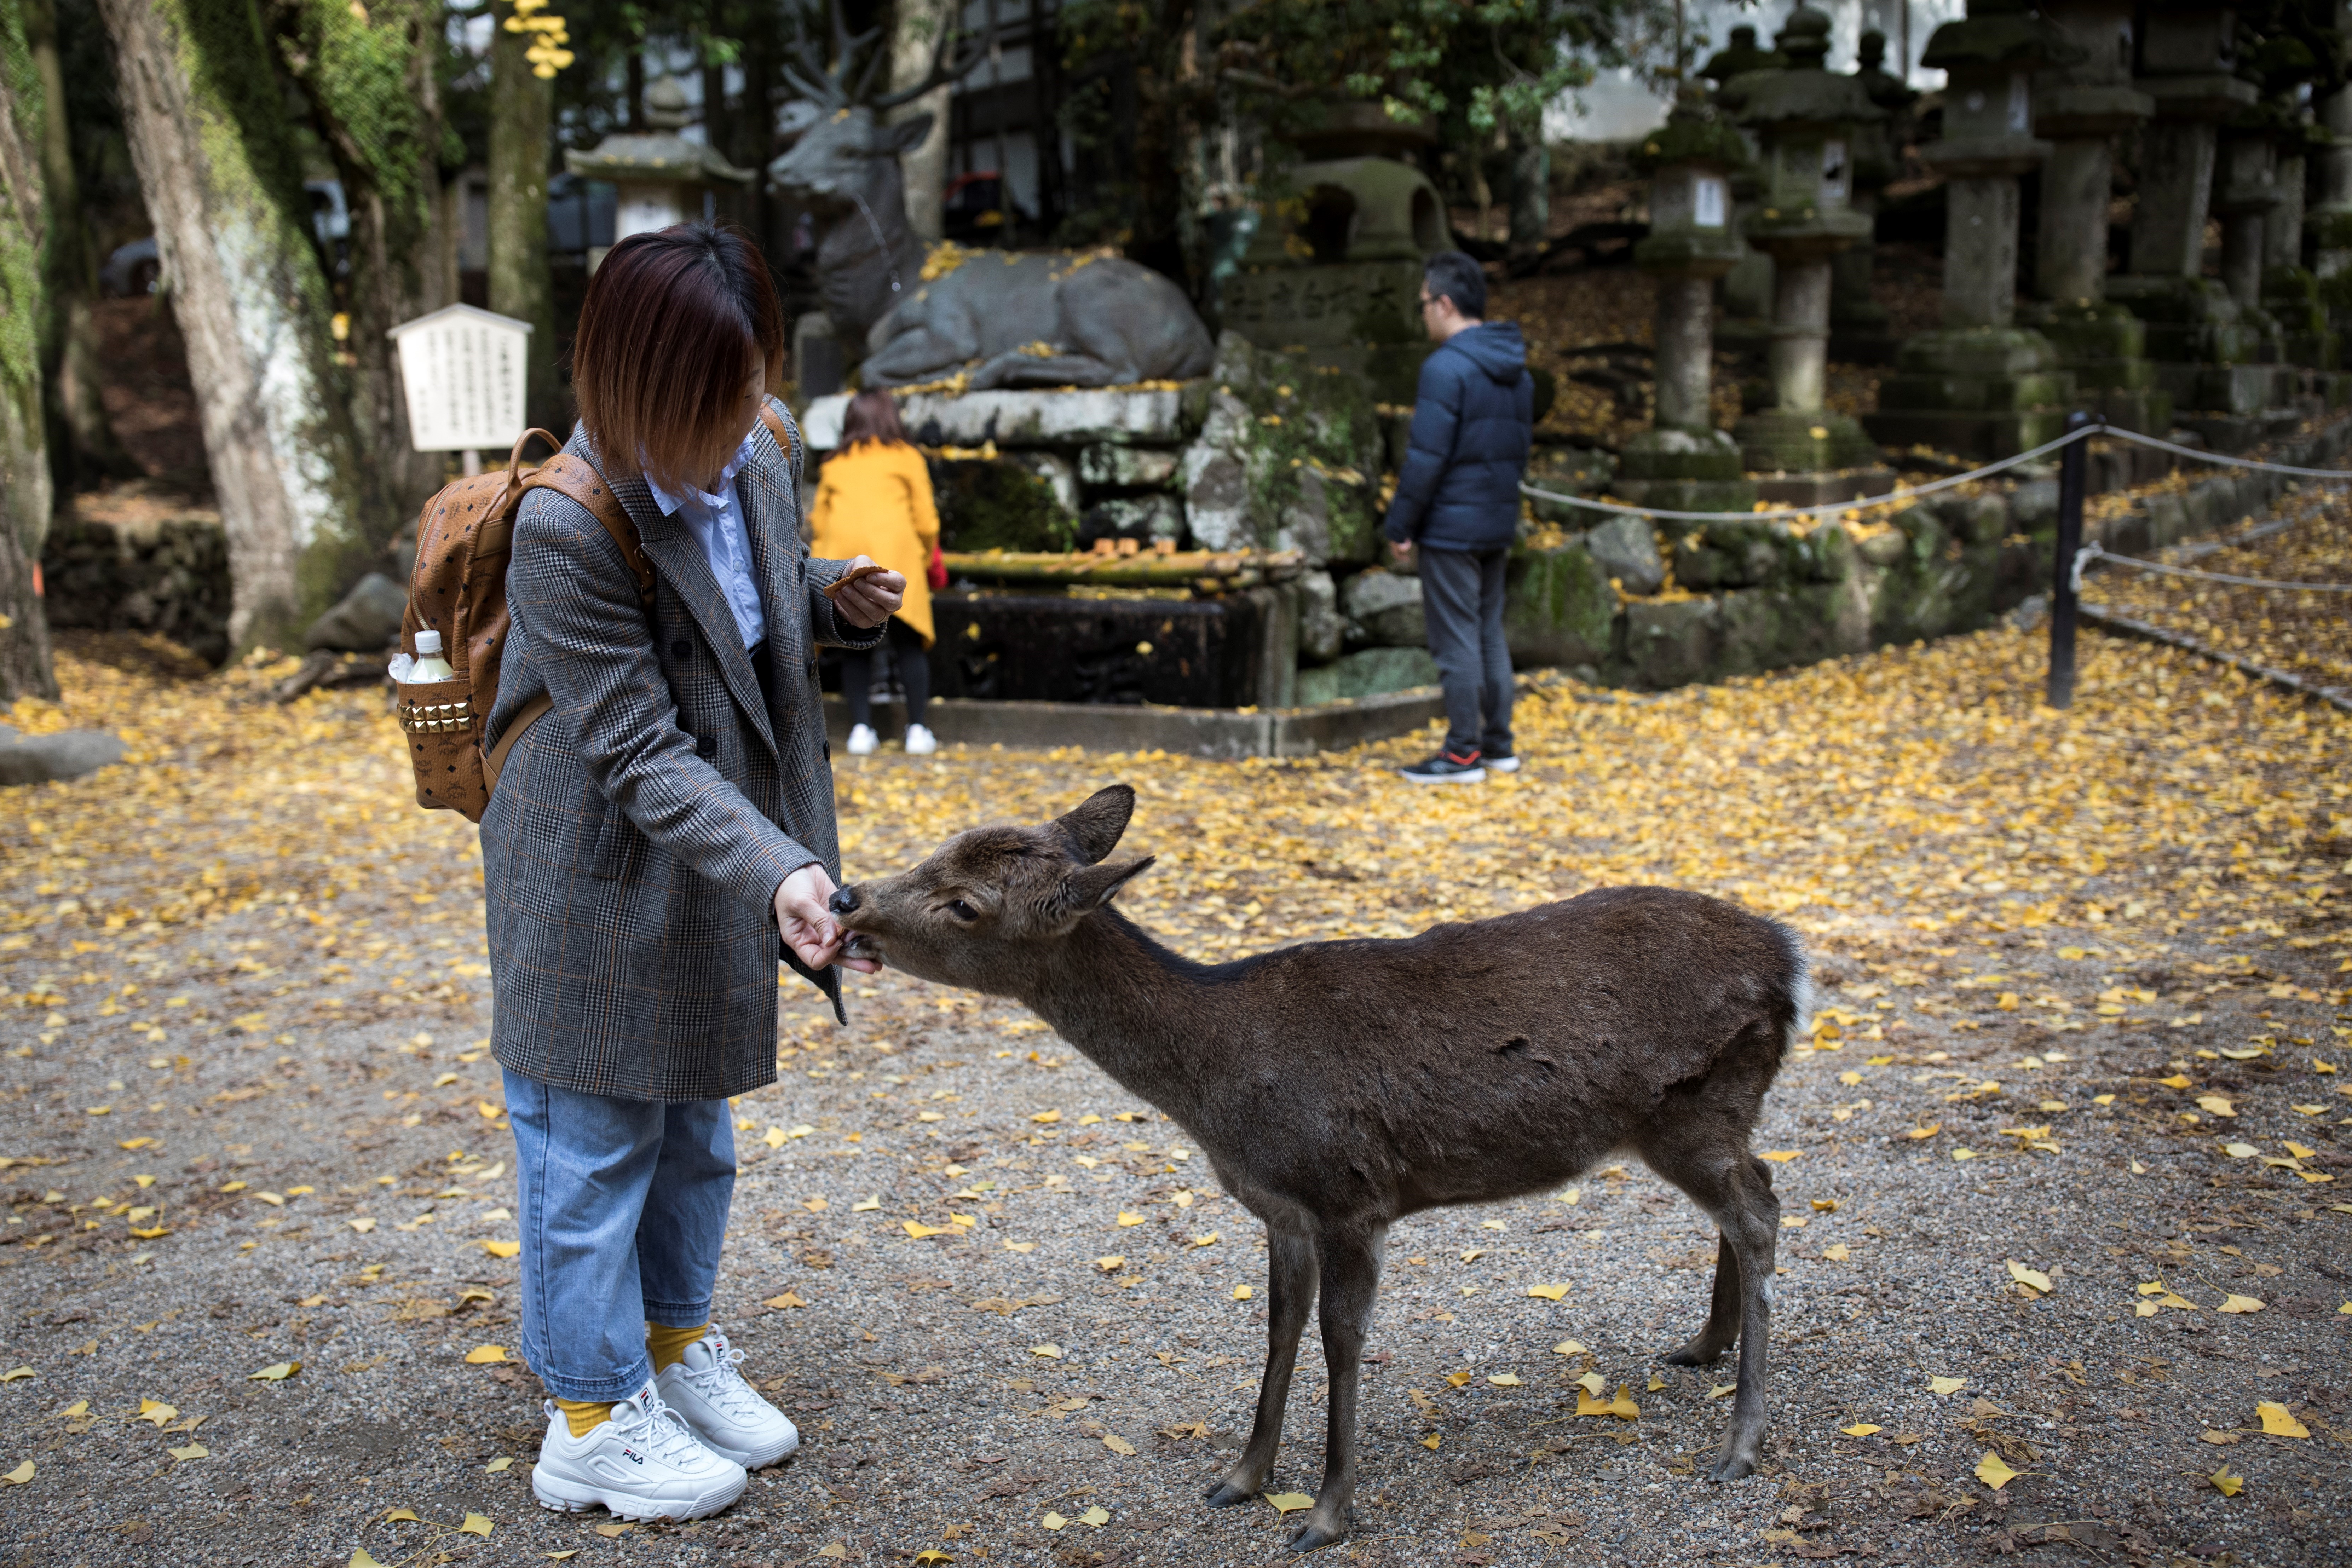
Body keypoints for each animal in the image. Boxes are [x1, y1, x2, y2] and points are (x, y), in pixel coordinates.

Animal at [832, 790, 1816, 1551]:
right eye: (941, 845)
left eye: (965, 904)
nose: (845, 897)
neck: (1221, 1089)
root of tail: (1791, 964)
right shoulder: (1280, 1206)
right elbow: (1279, 1328)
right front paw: (1242, 1476)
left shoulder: (1351, 1194)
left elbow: (1342, 1339)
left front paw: (1326, 1513)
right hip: (1704, 1116)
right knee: (1751, 1193)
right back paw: (1703, 1345)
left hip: (1696, 1105)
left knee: (1761, 1210)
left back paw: (1742, 1442)